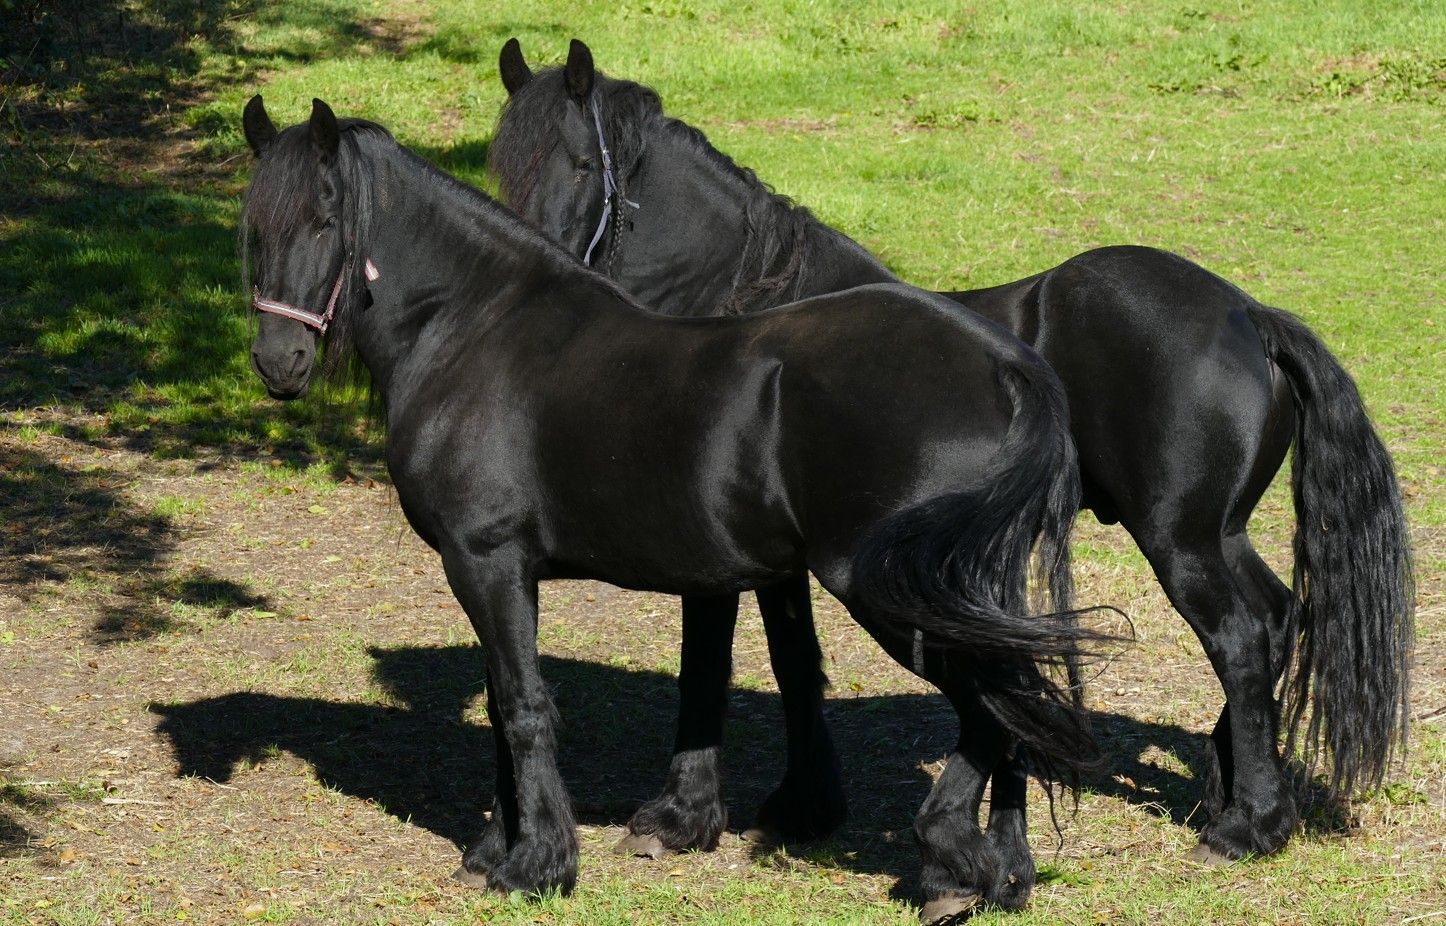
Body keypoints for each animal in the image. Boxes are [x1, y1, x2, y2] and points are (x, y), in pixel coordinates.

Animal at [240, 94, 1109, 920]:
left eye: (324, 219)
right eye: (256, 228)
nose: (279, 363)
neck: (471, 329)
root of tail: (1004, 365)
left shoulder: (484, 561)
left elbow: (522, 708)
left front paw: (535, 866)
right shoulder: (496, 571)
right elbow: (500, 704)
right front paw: (496, 849)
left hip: (892, 591)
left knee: (998, 706)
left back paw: (950, 860)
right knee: (1017, 699)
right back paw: (1006, 873)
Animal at [488, 38, 1414, 877]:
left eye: (580, 163)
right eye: (498, 169)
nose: (528, 267)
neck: (742, 312)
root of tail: (1249, 315)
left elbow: (708, 664)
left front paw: (681, 817)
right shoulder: (784, 556)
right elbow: (794, 663)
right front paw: (803, 805)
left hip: (1181, 542)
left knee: (1242, 639)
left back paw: (1247, 825)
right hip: (1218, 536)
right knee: (1279, 618)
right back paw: (1231, 791)